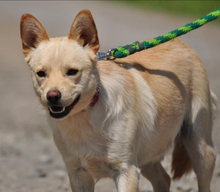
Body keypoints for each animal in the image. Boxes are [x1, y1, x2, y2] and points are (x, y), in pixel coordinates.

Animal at [20, 9, 217, 192]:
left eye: (72, 71)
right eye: (41, 73)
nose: (52, 96)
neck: (85, 117)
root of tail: (182, 43)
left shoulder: (126, 170)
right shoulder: (77, 173)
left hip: (199, 147)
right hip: (147, 155)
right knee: (163, 179)